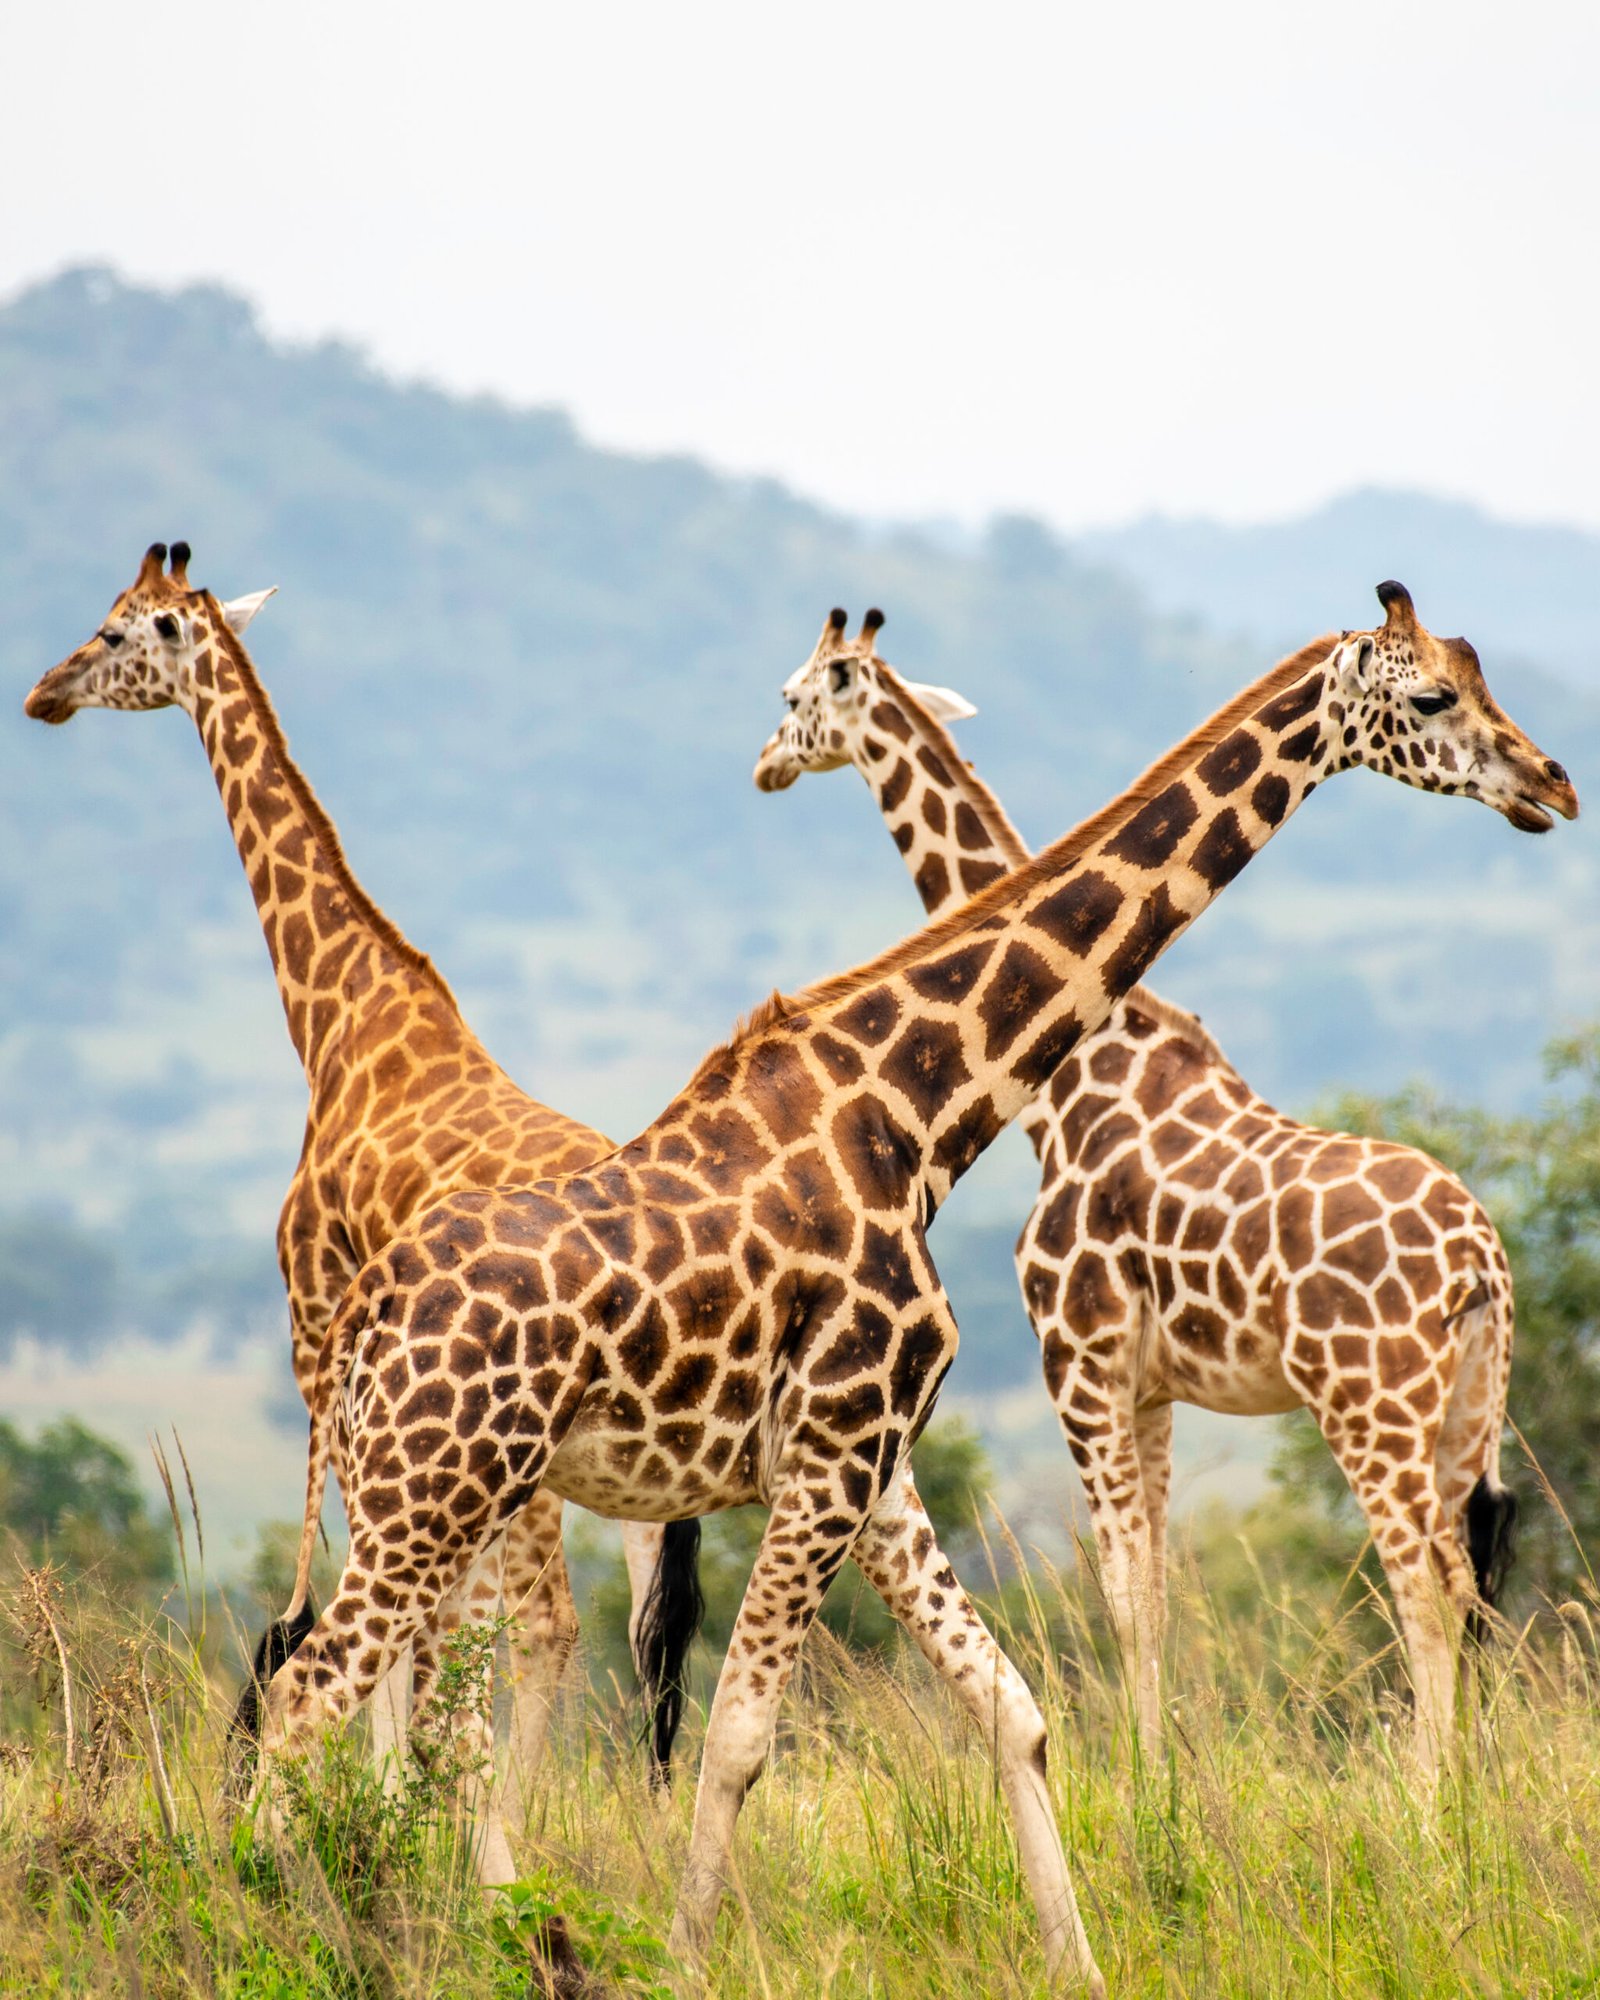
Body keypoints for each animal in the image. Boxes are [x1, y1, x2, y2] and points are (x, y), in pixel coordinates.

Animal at [22, 541, 703, 1807]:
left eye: (114, 630)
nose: (42, 690)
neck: (340, 1017)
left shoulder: (314, 1328)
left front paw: (371, 1797)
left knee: (552, 1625)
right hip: (648, 1455)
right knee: (657, 1633)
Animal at [755, 605, 1528, 1769]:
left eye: (796, 698)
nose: (764, 763)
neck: (1069, 1086)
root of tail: (1478, 1259)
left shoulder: (1078, 1354)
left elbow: (1122, 1593)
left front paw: (1141, 1782)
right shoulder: (1154, 1383)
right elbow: (1158, 1588)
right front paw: (1161, 1772)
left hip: (1372, 1402)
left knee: (1426, 1591)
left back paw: (1429, 1797)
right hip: (1474, 1405)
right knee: (1473, 1589)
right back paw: (1472, 1787)